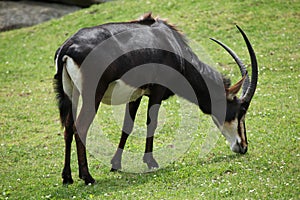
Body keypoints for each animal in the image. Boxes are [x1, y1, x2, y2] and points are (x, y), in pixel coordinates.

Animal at [54, 12, 258, 184]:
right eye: (241, 110)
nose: (243, 146)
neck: (171, 44)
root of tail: (68, 46)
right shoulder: (157, 91)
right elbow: (152, 122)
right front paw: (151, 162)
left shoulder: (135, 94)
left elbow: (127, 126)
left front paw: (115, 164)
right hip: (92, 95)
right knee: (80, 127)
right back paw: (87, 177)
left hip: (71, 93)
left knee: (68, 127)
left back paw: (67, 177)